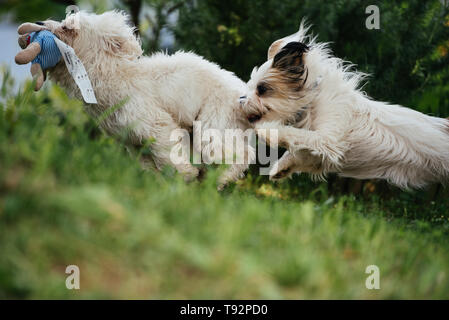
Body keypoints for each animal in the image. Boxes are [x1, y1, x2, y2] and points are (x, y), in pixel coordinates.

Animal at [15, 11, 254, 186]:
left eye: (67, 28)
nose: (38, 22)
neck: (112, 74)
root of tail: (245, 94)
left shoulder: (156, 124)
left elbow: (168, 153)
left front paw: (185, 176)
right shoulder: (134, 142)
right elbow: (149, 165)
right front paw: (156, 183)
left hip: (213, 122)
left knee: (241, 154)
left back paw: (221, 179)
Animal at [240, 23, 448, 189]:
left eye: (262, 89)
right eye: (250, 86)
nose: (241, 99)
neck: (312, 102)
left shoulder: (328, 139)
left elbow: (295, 134)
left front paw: (267, 129)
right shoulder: (319, 154)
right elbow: (300, 152)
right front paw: (281, 168)